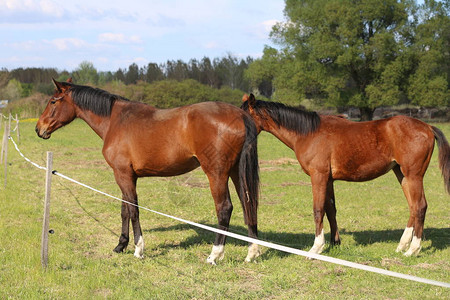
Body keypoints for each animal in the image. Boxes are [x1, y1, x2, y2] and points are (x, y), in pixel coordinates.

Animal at [37, 79, 262, 264]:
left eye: (53, 101)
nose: (39, 129)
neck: (115, 120)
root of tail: (240, 115)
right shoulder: (126, 175)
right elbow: (125, 209)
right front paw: (120, 245)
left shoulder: (123, 174)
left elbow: (134, 210)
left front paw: (138, 249)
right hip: (236, 172)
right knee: (248, 204)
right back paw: (252, 252)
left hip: (217, 173)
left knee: (224, 208)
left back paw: (214, 255)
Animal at [243, 93, 450, 255]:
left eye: (244, 116)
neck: (308, 133)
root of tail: (427, 127)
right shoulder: (328, 179)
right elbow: (330, 209)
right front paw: (335, 243)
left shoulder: (318, 176)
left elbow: (318, 209)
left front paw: (317, 247)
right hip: (402, 175)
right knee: (413, 207)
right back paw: (402, 245)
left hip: (414, 176)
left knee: (420, 206)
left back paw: (413, 249)